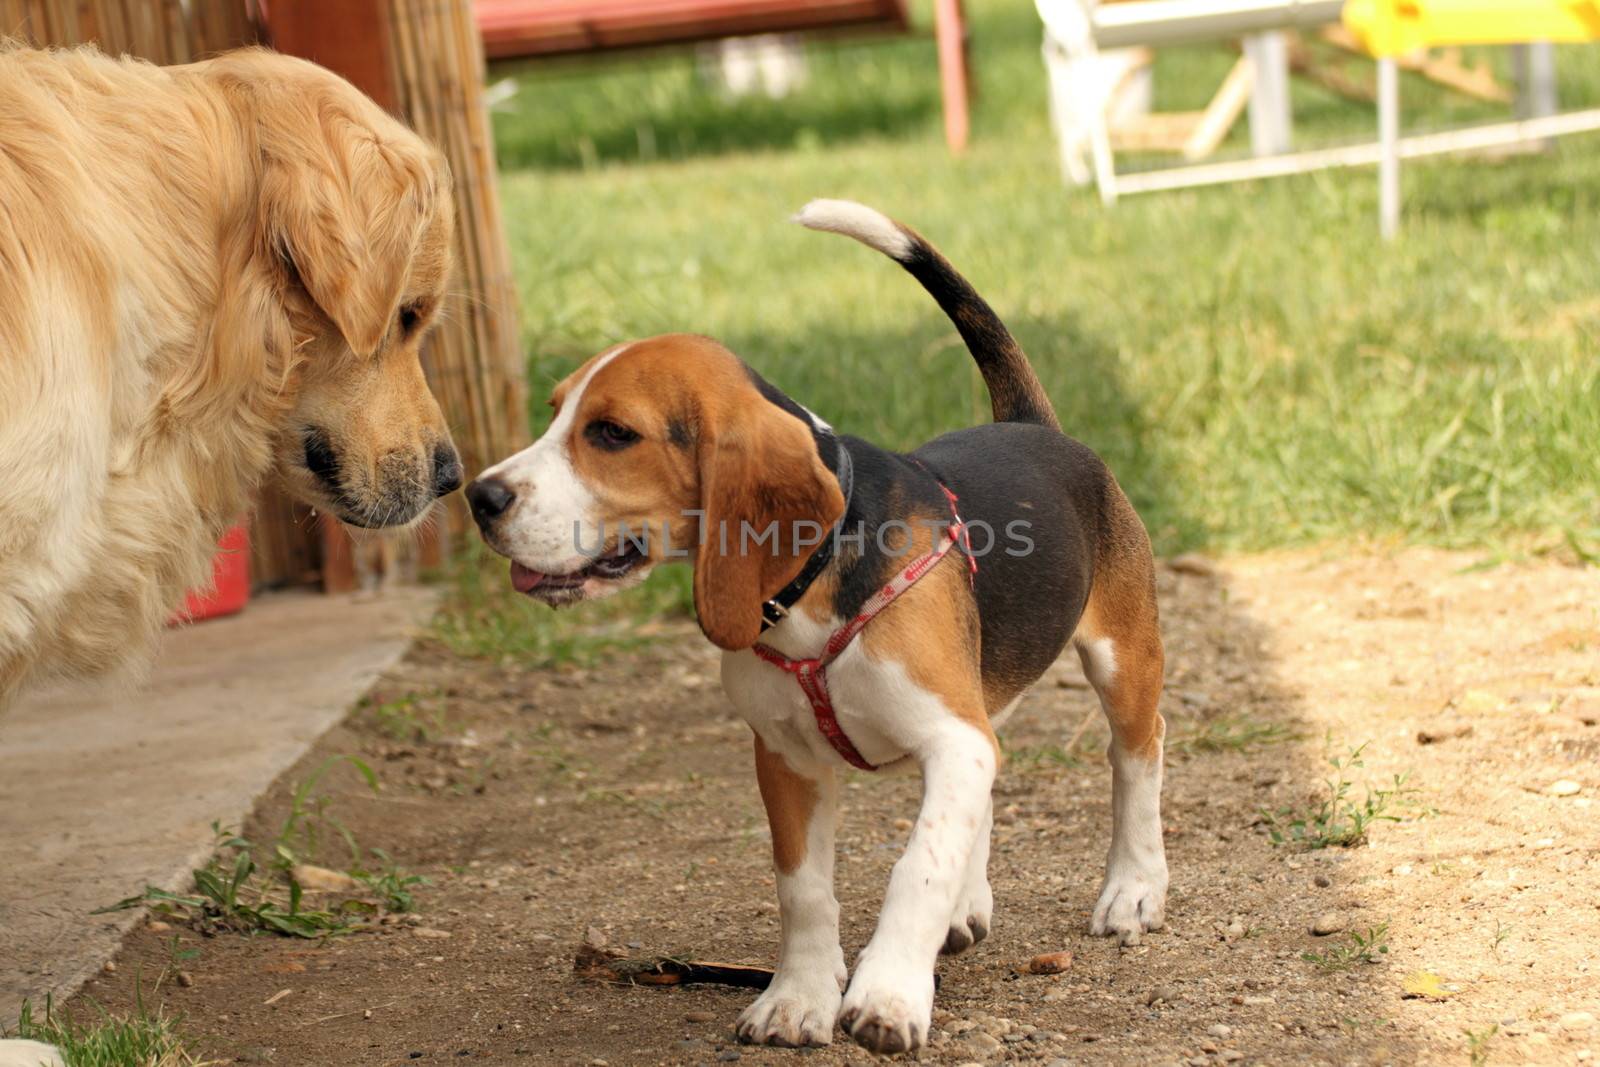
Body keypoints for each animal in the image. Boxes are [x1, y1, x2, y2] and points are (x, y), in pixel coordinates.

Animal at [467, 202, 1171, 1062]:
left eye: (611, 433)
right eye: (554, 413)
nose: (479, 496)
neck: (819, 569)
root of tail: (1033, 426)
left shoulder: (950, 736)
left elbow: (918, 863)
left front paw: (889, 992)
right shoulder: (787, 755)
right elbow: (803, 886)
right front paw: (799, 997)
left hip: (1119, 658)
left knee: (1136, 756)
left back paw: (1133, 887)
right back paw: (968, 905)